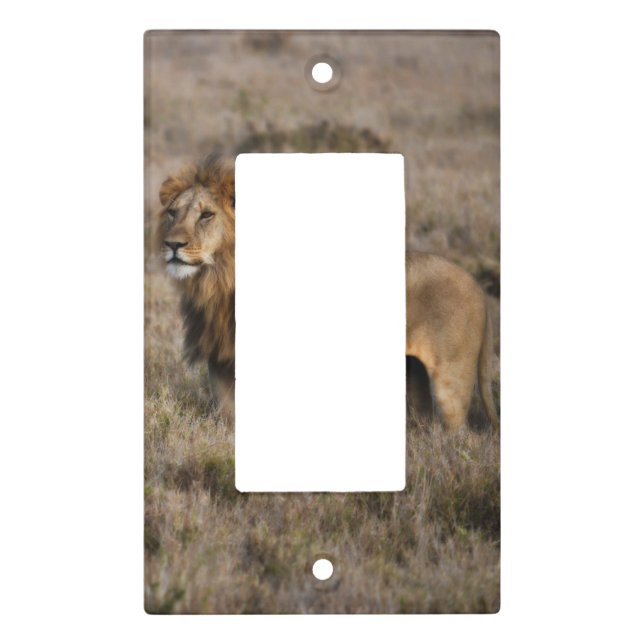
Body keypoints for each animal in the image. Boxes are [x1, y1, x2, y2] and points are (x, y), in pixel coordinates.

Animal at [157, 156, 499, 431]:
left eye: (206, 215)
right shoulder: (220, 361)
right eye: (172, 213)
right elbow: (229, 420)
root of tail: (477, 287)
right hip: (414, 374)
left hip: (451, 379)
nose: (172, 245)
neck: (217, 279)